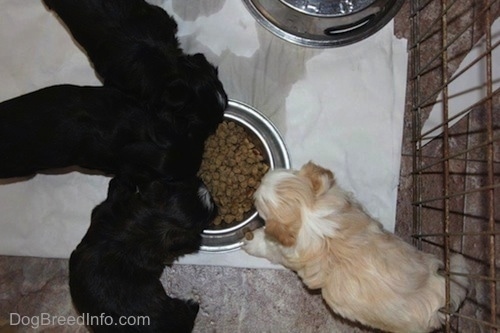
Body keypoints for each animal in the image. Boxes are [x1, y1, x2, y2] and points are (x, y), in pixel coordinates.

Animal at [244, 161, 470, 332]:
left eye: (258, 201)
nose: (260, 179)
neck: (308, 211)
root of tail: (440, 296)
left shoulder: (286, 253)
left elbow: (269, 247)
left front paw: (251, 240)